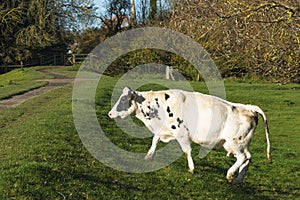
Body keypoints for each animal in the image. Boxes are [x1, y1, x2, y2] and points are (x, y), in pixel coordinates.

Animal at [108, 86, 272, 184]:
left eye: (124, 99)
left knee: (243, 158)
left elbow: (187, 150)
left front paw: (191, 168)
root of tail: (248, 107)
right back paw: (238, 179)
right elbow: (155, 140)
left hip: (235, 142)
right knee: (248, 158)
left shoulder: (181, 132)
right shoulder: (165, 130)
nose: (109, 113)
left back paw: (230, 174)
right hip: (240, 144)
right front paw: (148, 156)